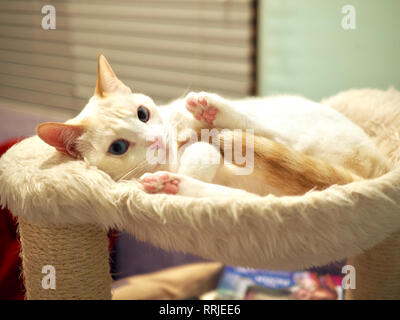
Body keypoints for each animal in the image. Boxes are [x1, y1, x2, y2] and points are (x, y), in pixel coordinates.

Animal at [36, 55, 390, 198]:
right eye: (118, 147)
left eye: (142, 113)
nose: (154, 139)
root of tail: (378, 165)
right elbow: (203, 157)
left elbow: (212, 142)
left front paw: (203, 119)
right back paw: (169, 184)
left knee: (268, 133)